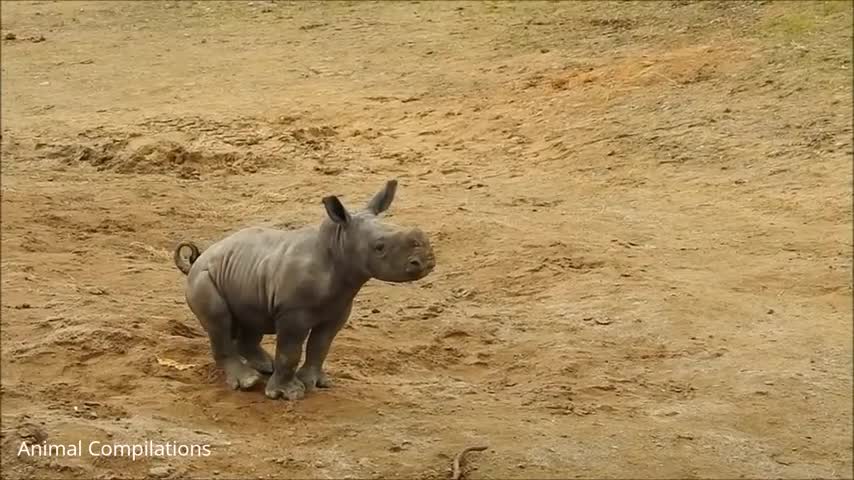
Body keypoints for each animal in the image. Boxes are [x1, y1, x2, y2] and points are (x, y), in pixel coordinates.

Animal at [173, 180, 434, 402]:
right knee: (219, 321)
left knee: (251, 319)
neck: (338, 247)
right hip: (204, 278)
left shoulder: (338, 308)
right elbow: (290, 351)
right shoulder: (292, 312)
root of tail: (196, 262)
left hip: (247, 273)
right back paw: (247, 382)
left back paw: (265, 367)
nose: (427, 261)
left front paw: (315, 383)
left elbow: (321, 345)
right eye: (379, 247)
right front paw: (287, 394)